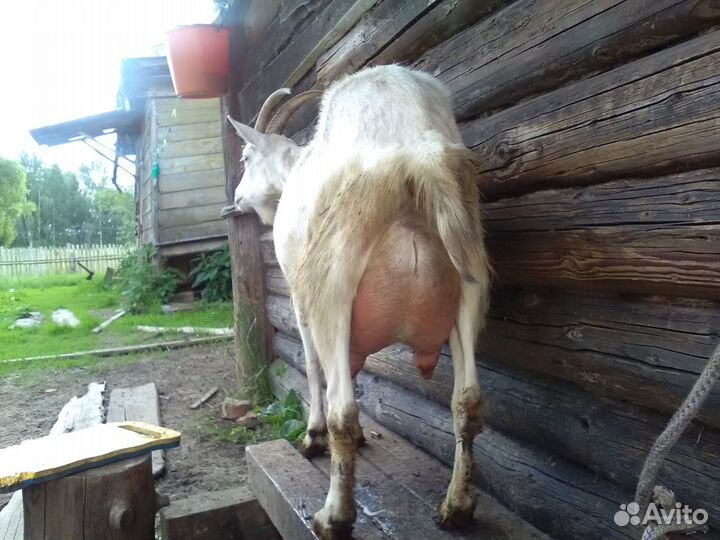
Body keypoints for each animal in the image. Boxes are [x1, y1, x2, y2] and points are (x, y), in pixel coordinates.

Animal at [228, 65, 490, 539]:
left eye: (245, 158)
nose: (237, 198)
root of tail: (415, 152)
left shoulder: (300, 292)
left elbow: (314, 365)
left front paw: (312, 437)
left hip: (333, 278)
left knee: (342, 411)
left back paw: (333, 515)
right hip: (469, 269)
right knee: (468, 399)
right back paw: (456, 507)